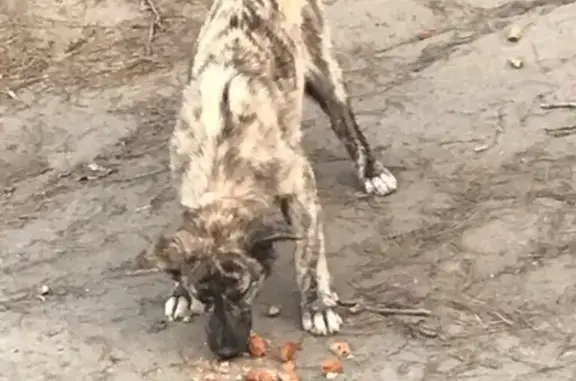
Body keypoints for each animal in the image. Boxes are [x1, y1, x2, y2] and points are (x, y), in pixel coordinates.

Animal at [151, 0, 398, 360]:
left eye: (243, 291)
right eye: (205, 297)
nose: (226, 351)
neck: (221, 164)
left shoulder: (300, 187)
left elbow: (307, 254)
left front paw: (316, 305)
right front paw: (180, 291)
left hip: (323, 73)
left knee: (345, 122)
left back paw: (372, 171)